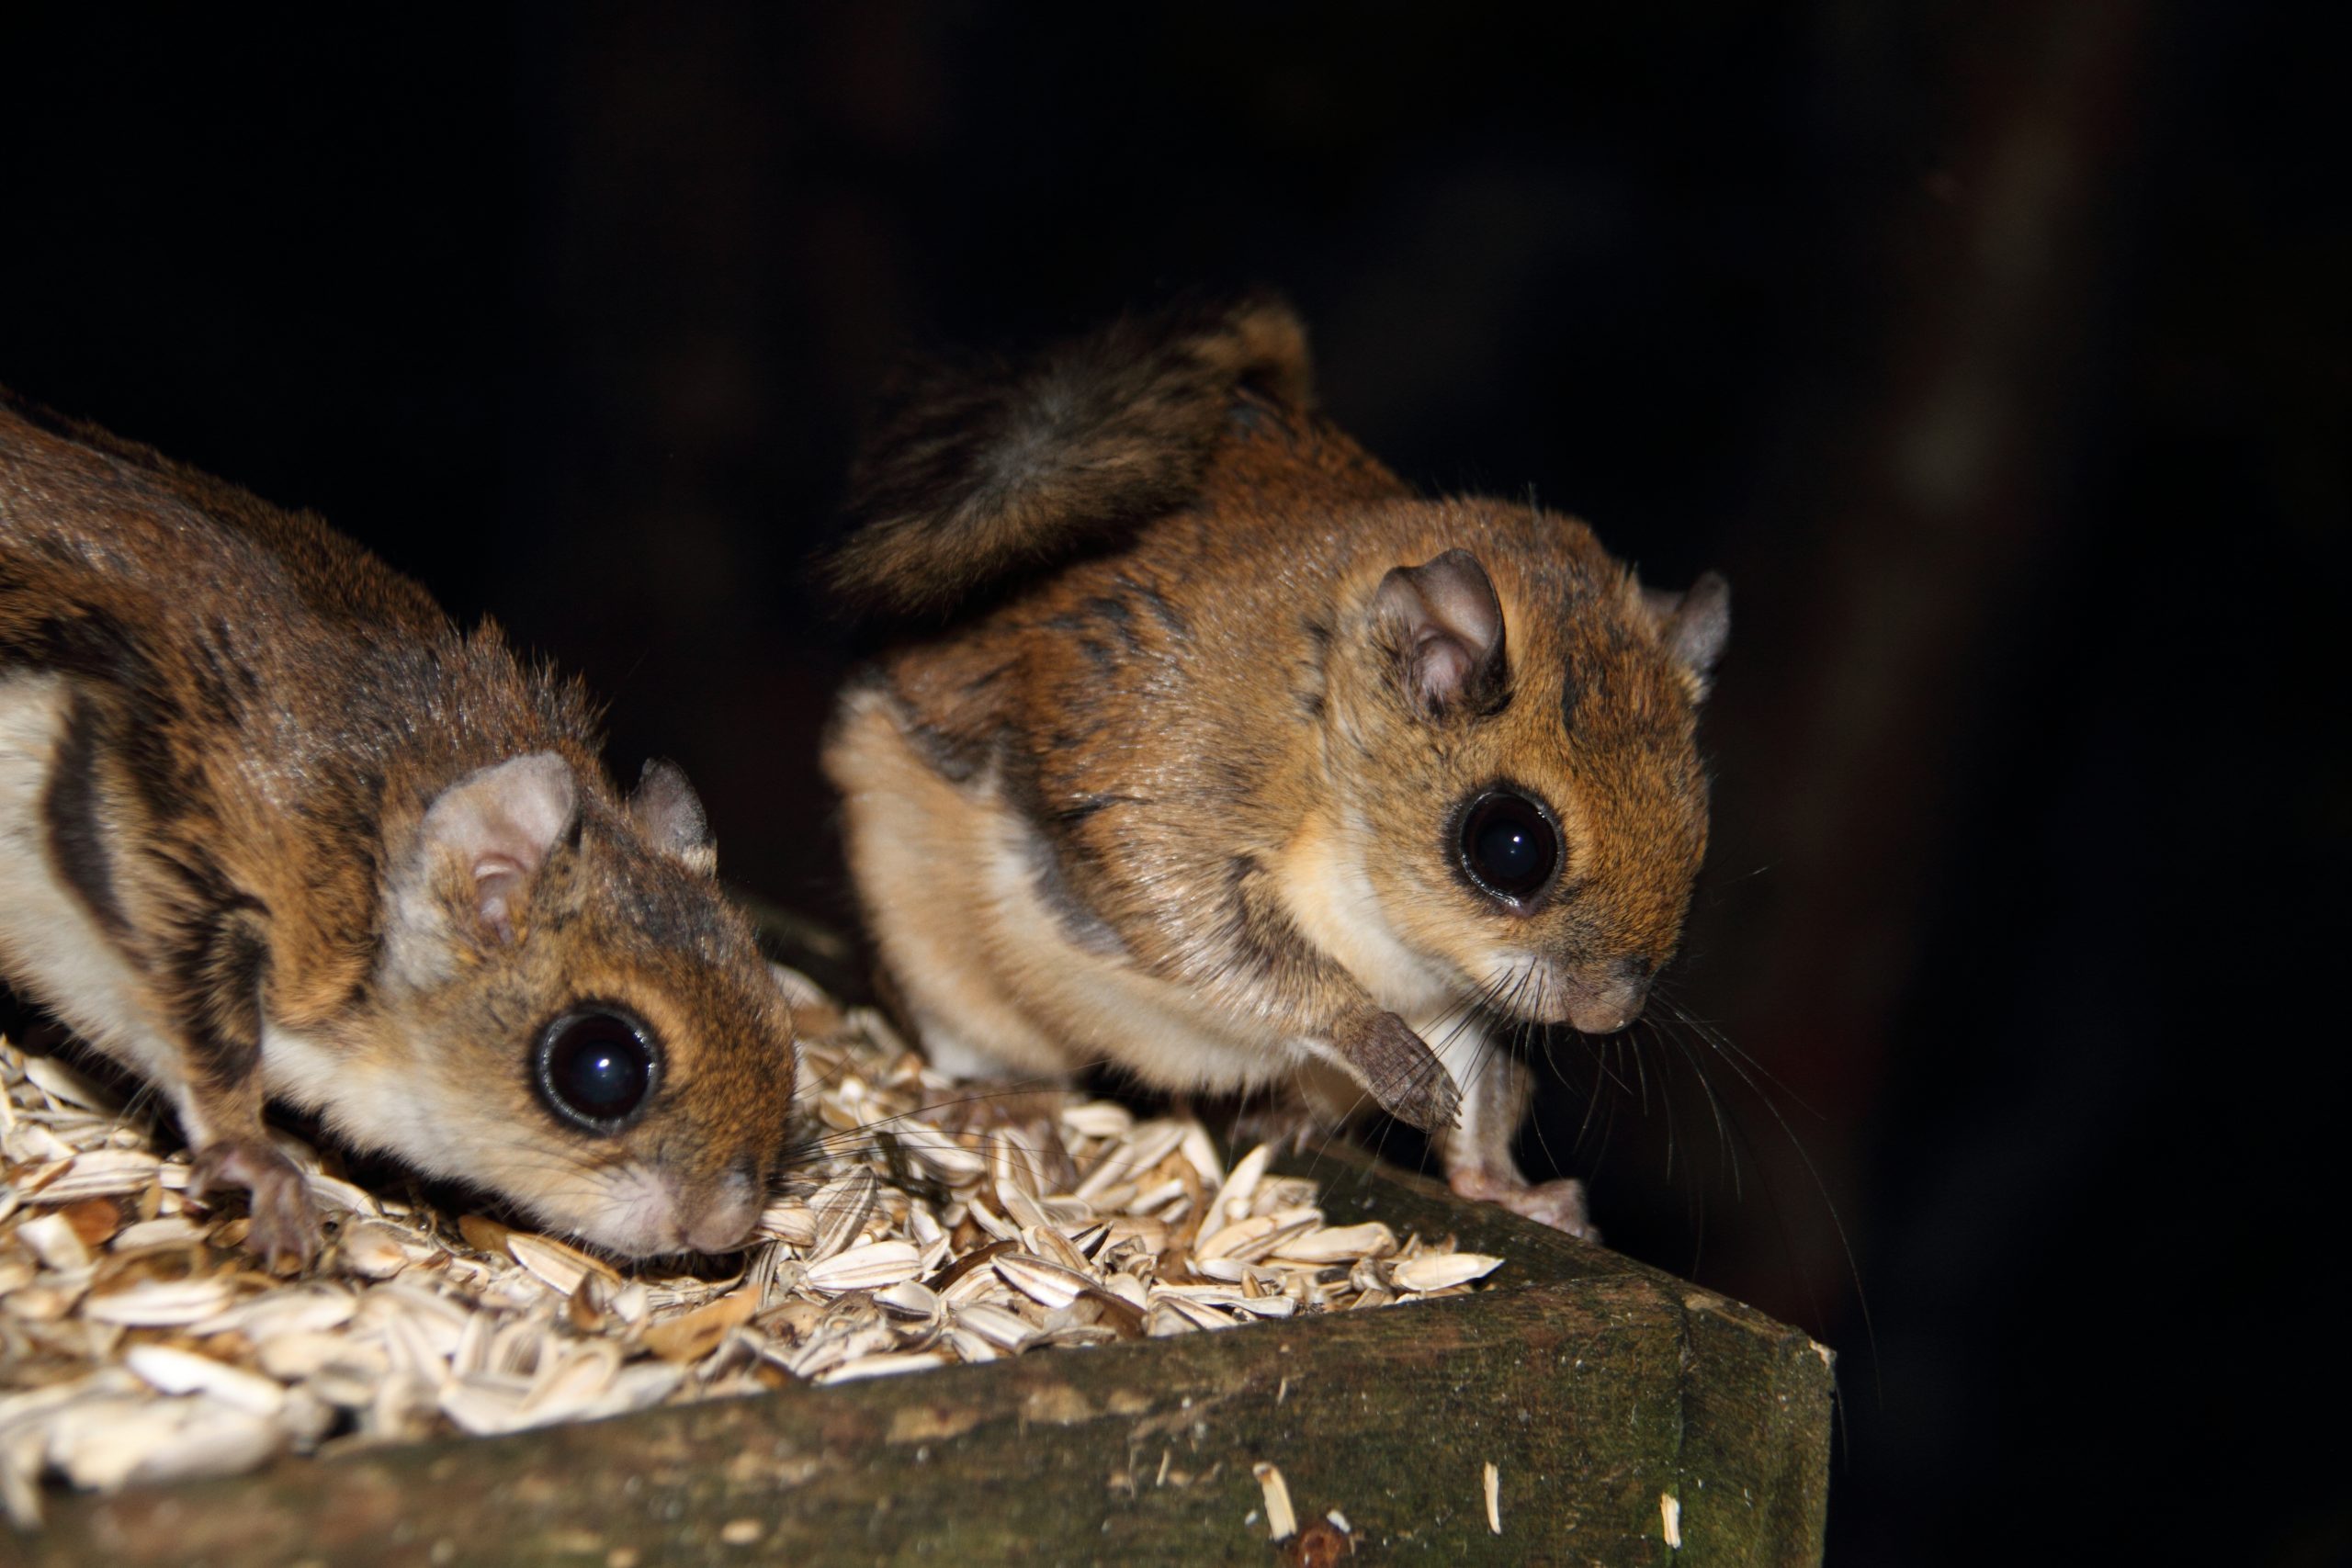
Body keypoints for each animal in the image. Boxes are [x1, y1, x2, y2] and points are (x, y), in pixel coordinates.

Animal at [0, 390, 798, 1264]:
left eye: (782, 1024)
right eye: (600, 1068)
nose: (724, 1226)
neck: (370, 851)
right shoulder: (185, 896)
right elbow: (212, 1057)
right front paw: (268, 1176)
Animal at [822, 296, 1727, 1235]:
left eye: (1698, 833)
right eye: (1511, 846)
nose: (1608, 1013)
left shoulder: (1458, 997)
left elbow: (1477, 1090)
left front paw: (1510, 1190)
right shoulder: (1163, 778)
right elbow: (1213, 942)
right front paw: (1378, 1046)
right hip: (931, 944)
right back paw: (1017, 1111)